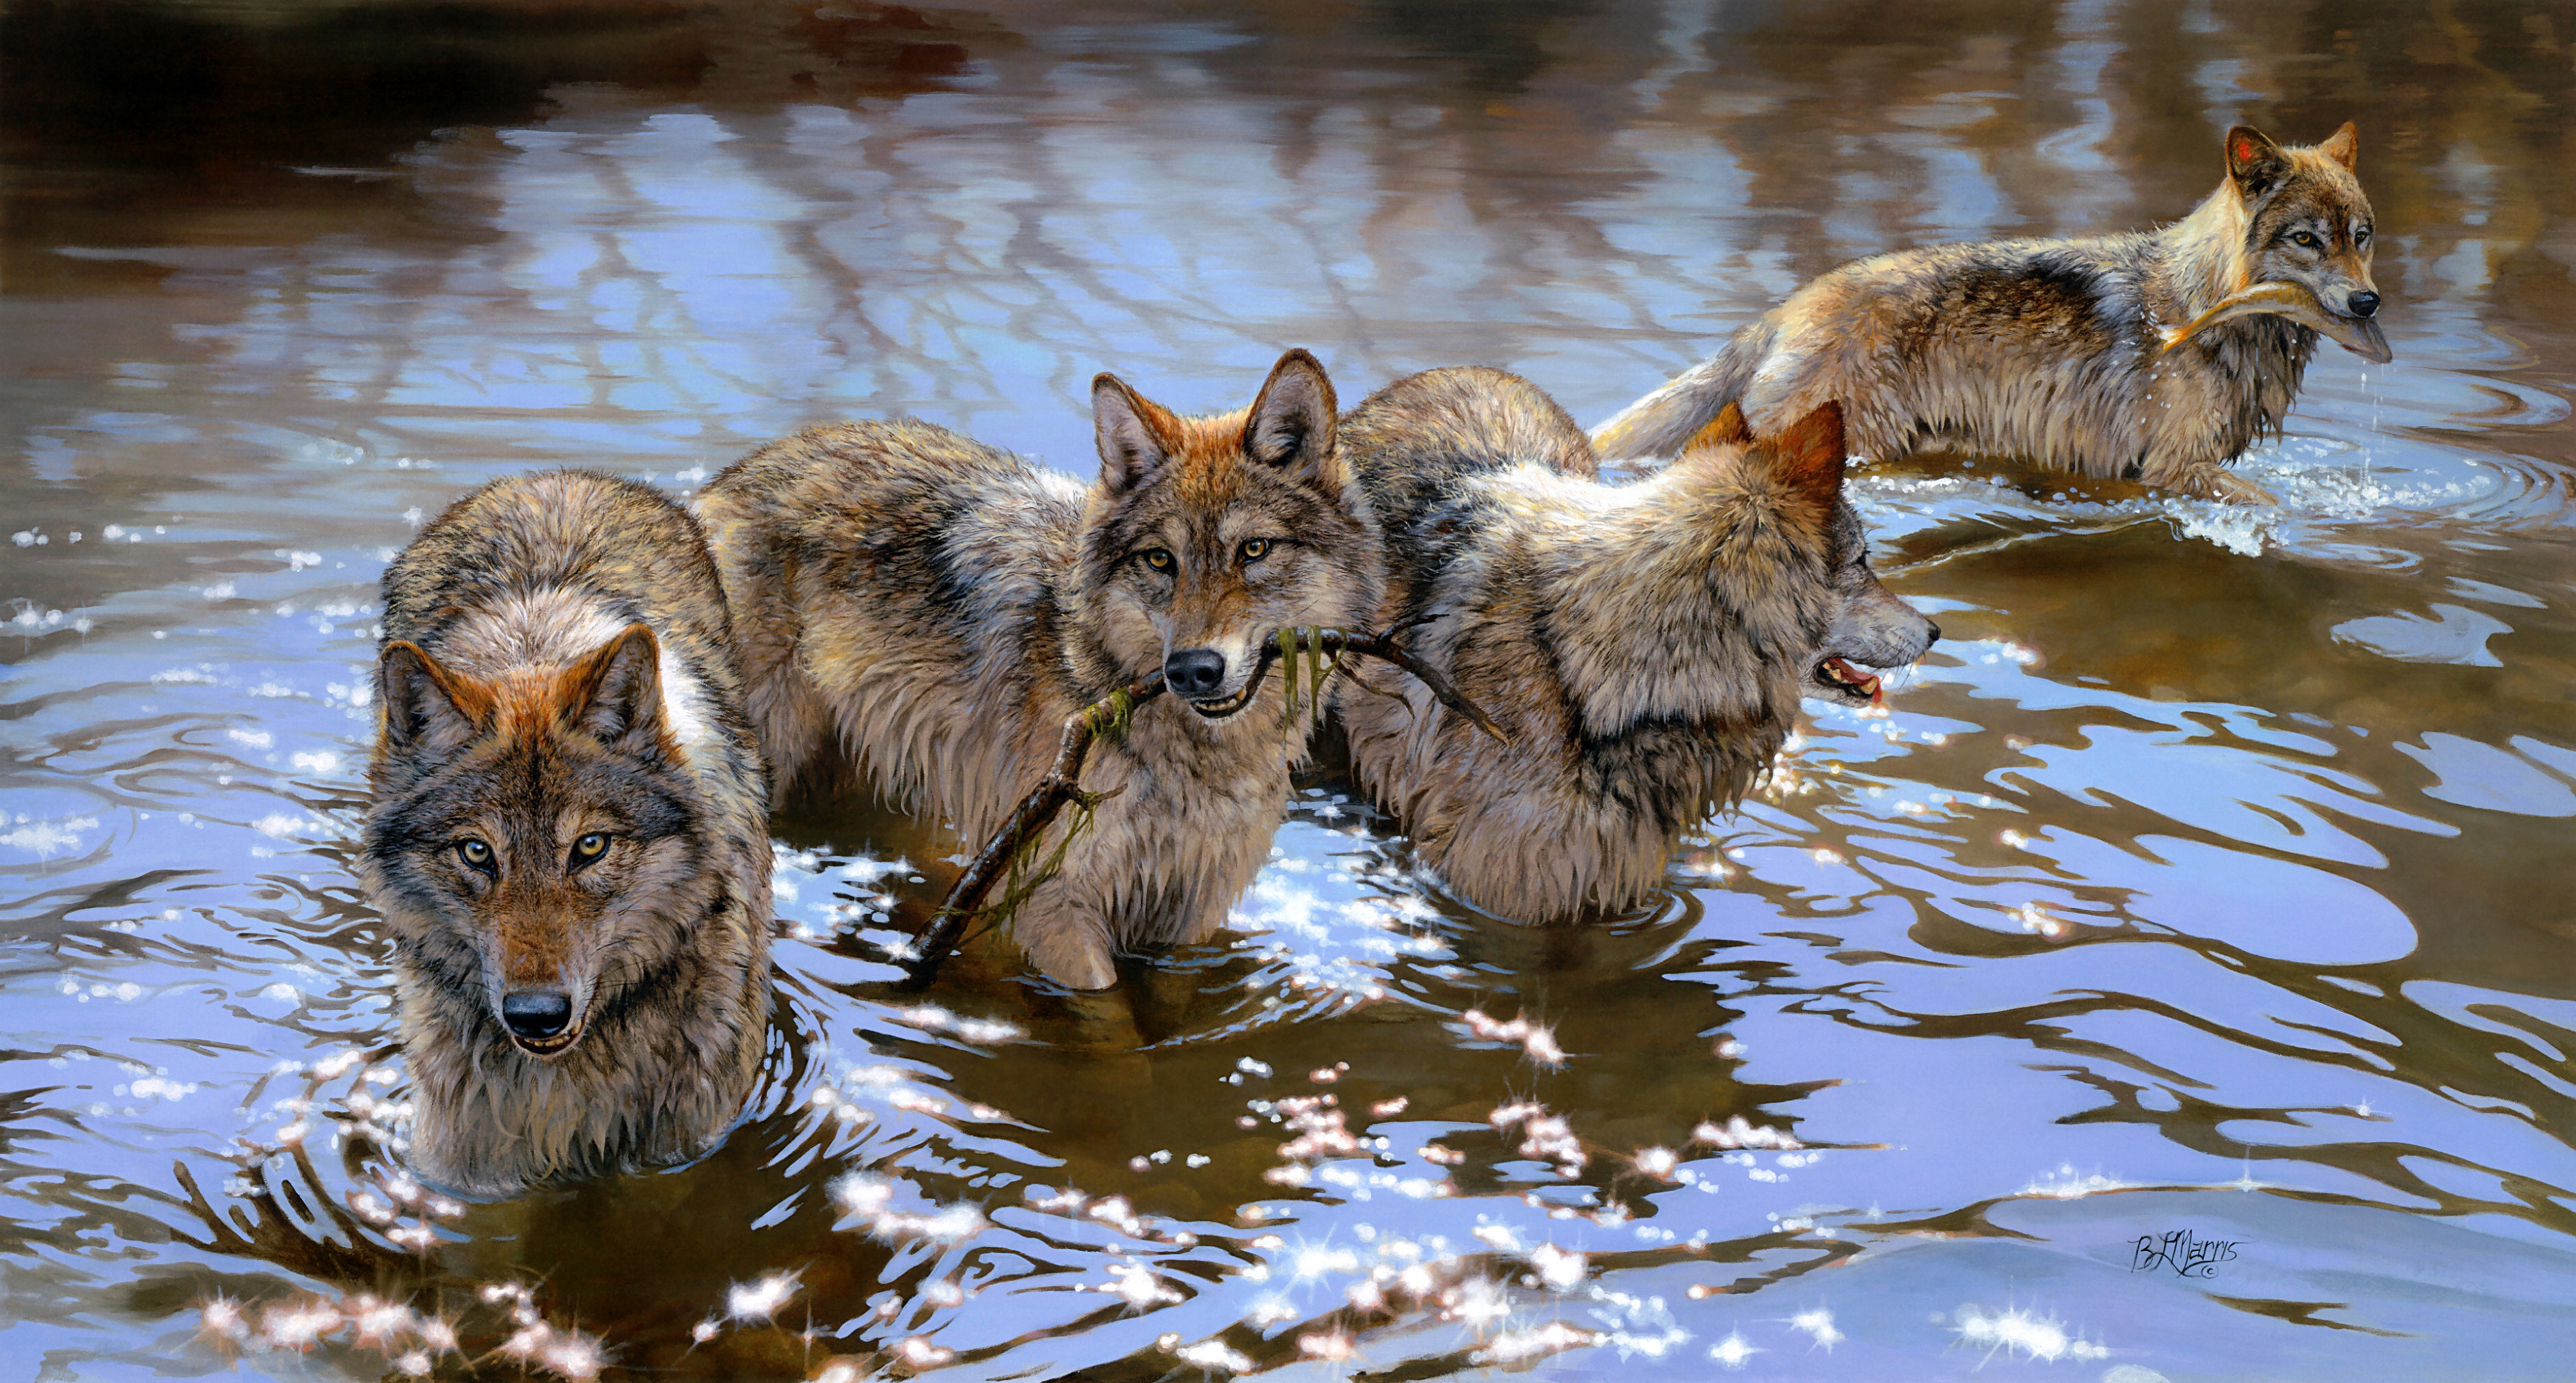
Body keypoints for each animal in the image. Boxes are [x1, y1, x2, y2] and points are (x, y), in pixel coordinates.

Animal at [365, 471, 773, 1194]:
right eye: (477, 851)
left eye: (590, 847)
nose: (536, 1013)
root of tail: (552, 478)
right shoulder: (463, 1160)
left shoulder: (687, 1145)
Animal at [692, 349, 1381, 991]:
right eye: (1160, 559)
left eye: (1255, 549)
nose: (1191, 670)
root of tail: (728, 479)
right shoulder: (1054, 902)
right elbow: (1106, 1017)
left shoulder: (1188, 912)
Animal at [1591, 123, 2387, 503]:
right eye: (2306, 239)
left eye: (2361, 235)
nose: (2368, 301)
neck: (2202, 304)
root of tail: (1788, 308)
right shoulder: (2172, 471)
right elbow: (2274, 504)